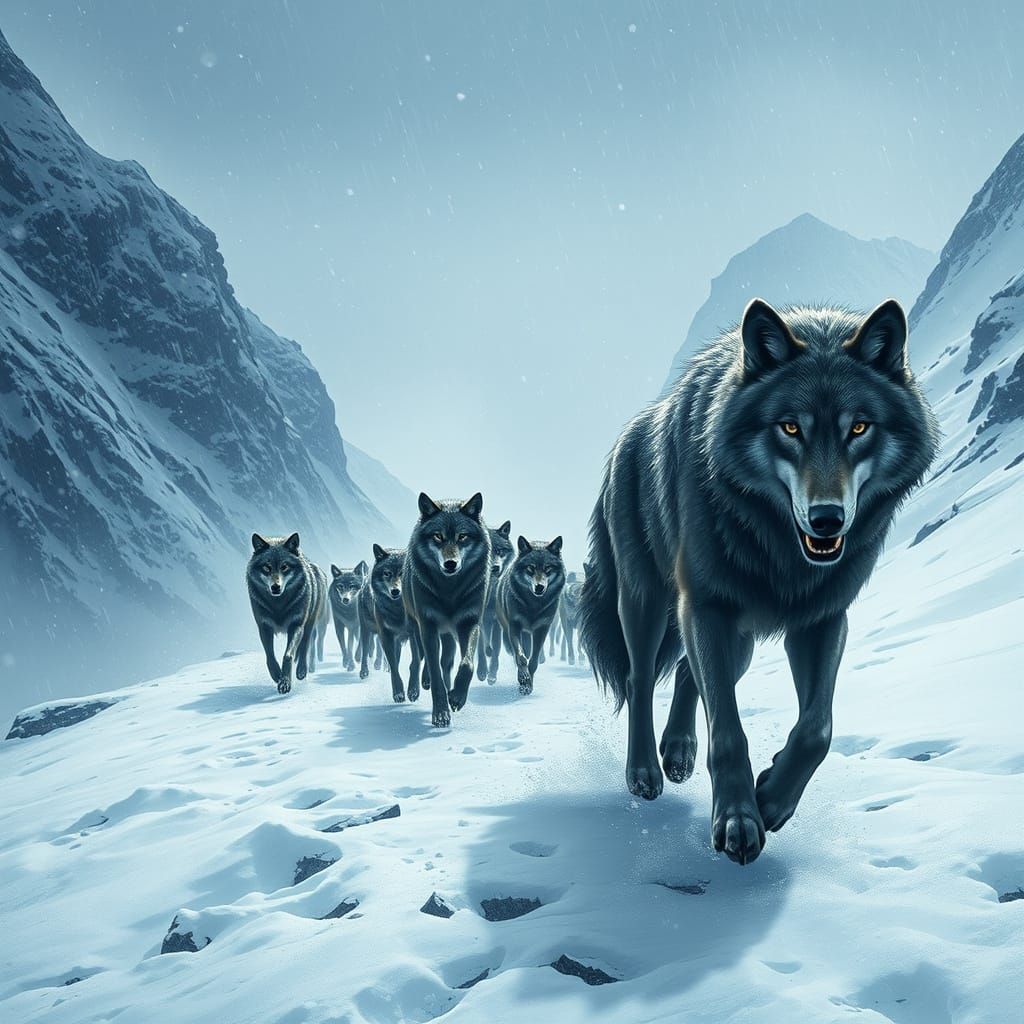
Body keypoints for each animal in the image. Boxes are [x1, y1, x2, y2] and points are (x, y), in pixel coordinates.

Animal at [247, 533, 329, 694]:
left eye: (284, 567)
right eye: (266, 567)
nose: (275, 587)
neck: (278, 605)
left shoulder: (296, 625)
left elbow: (288, 655)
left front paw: (285, 682)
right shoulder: (264, 627)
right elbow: (270, 656)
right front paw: (277, 676)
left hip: (309, 624)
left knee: (305, 646)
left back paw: (301, 671)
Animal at [358, 545, 421, 702]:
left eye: (403, 573)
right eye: (387, 573)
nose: (395, 591)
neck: (399, 609)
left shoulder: (415, 632)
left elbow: (415, 662)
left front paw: (413, 691)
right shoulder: (385, 635)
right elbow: (393, 666)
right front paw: (398, 692)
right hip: (366, 630)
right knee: (365, 651)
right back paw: (364, 672)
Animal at [403, 493, 491, 727]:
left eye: (462, 537)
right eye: (438, 537)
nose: (450, 564)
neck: (449, 590)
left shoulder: (469, 622)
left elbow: (467, 664)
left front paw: (457, 697)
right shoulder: (427, 625)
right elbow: (435, 674)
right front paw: (441, 713)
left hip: (449, 635)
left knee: (447, 662)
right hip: (415, 628)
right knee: (418, 660)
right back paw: (416, 687)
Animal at [496, 536, 566, 694]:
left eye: (548, 568)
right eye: (530, 568)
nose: (539, 587)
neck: (533, 606)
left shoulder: (542, 630)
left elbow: (533, 661)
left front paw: (529, 684)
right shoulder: (514, 626)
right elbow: (521, 657)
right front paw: (523, 679)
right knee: (517, 654)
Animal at [580, 299, 939, 865]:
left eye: (859, 428)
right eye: (790, 428)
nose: (827, 520)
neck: (780, 550)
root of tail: (628, 434)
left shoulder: (821, 620)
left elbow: (817, 729)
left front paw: (770, 799)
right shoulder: (706, 606)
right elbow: (728, 731)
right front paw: (738, 820)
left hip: (740, 641)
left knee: (688, 674)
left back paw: (679, 751)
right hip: (647, 602)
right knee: (641, 678)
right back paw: (645, 772)